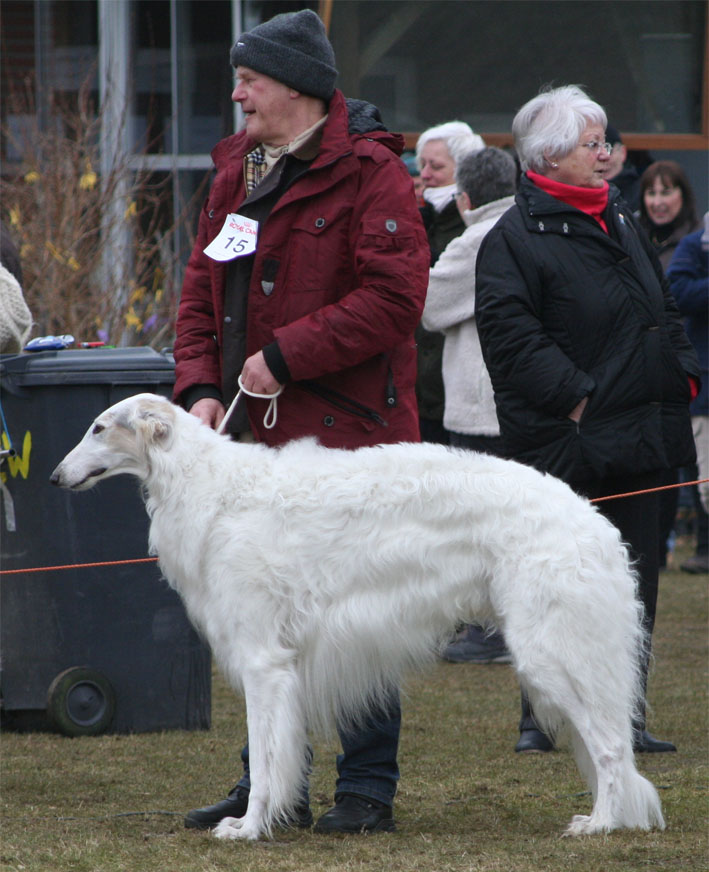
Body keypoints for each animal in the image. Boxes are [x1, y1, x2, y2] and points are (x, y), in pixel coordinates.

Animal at [51, 392, 665, 841]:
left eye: (98, 428)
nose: (55, 477)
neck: (210, 486)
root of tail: (594, 522)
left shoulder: (264, 663)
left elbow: (266, 761)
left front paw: (247, 827)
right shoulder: (284, 669)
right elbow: (280, 757)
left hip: (552, 657)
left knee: (612, 749)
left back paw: (600, 824)